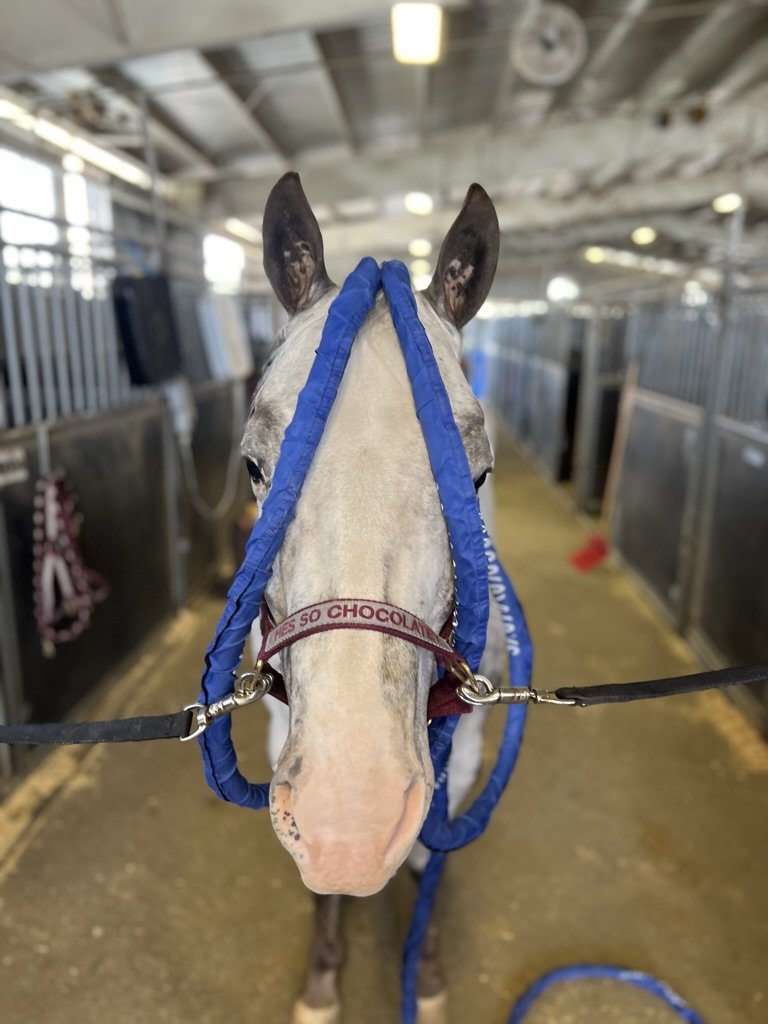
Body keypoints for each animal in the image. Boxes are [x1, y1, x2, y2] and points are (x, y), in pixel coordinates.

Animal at [242, 172, 504, 1023]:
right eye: (254, 466)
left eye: (477, 476)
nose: (348, 822)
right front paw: (323, 981)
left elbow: (428, 852)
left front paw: (426, 976)